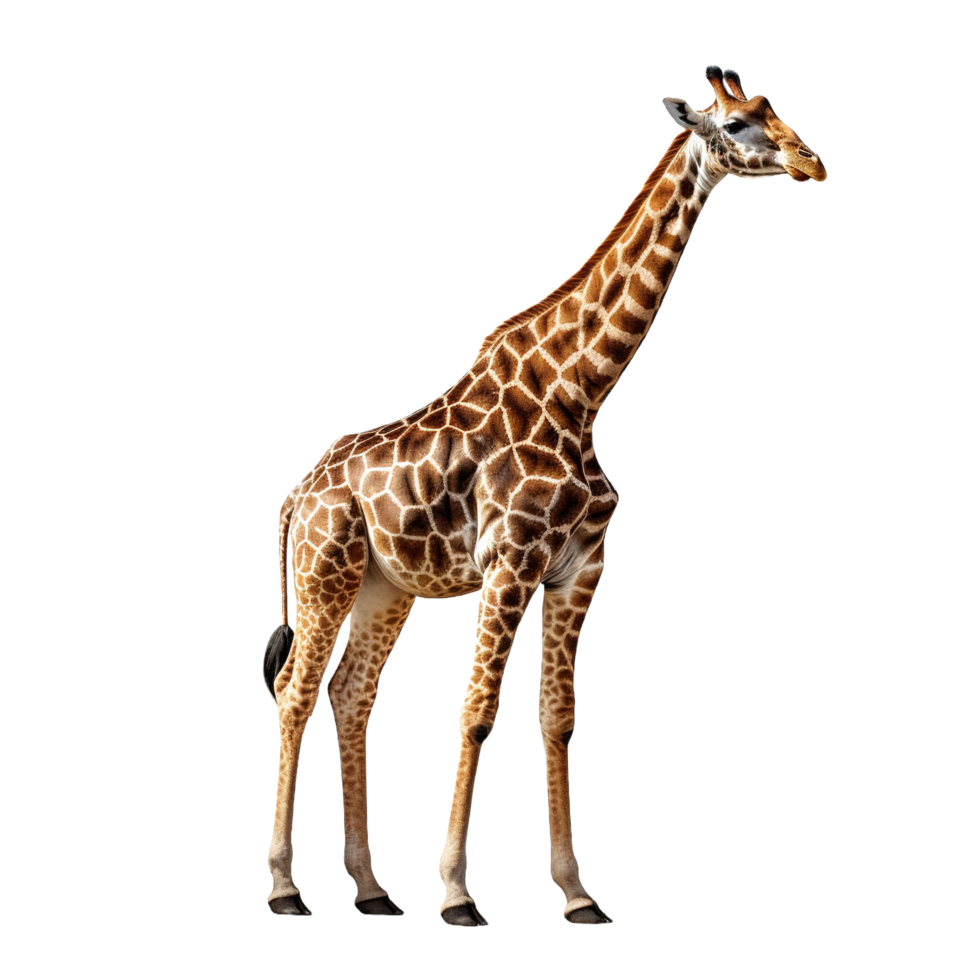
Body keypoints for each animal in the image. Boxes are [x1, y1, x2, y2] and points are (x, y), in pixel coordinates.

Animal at [263, 65, 828, 924]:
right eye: (738, 123)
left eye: (777, 111)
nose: (814, 161)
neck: (580, 387)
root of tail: (297, 495)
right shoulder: (510, 560)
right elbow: (476, 714)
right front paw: (458, 893)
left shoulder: (577, 569)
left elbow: (557, 717)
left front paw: (578, 893)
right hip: (326, 568)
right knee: (297, 694)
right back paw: (285, 887)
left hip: (385, 585)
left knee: (351, 698)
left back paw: (372, 889)